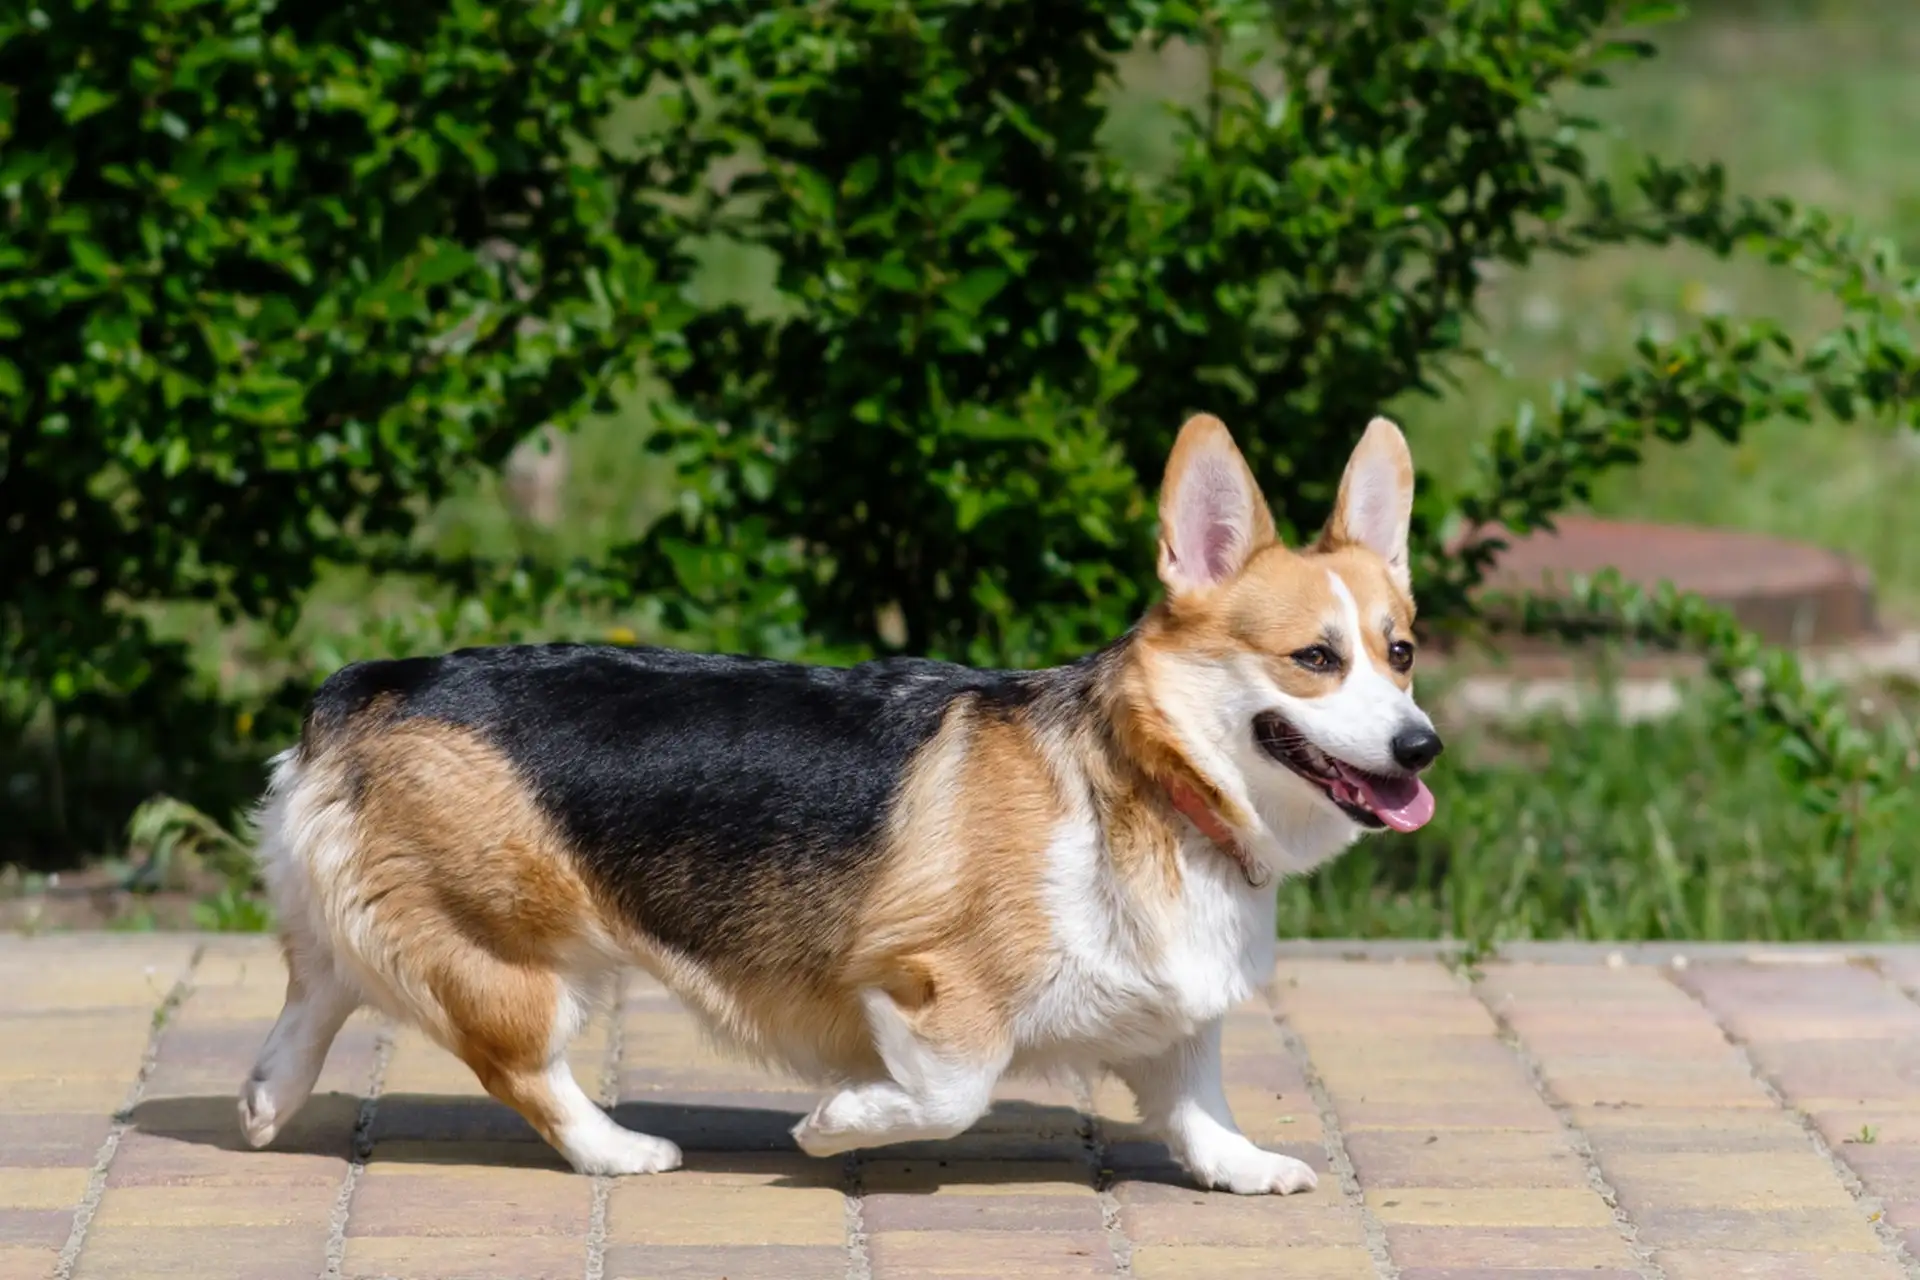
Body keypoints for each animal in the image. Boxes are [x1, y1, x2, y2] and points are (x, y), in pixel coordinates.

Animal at [240, 416, 1443, 1197]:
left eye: (1401, 653)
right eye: (1315, 660)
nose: (1422, 745)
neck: (1154, 784)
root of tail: (371, 682)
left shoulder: (1176, 1015)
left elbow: (1198, 1101)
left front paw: (1247, 1167)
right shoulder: (935, 986)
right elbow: (955, 1091)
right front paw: (837, 1125)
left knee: (316, 986)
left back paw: (262, 1101)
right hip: (524, 953)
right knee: (517, 1065)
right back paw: (620, 1150)